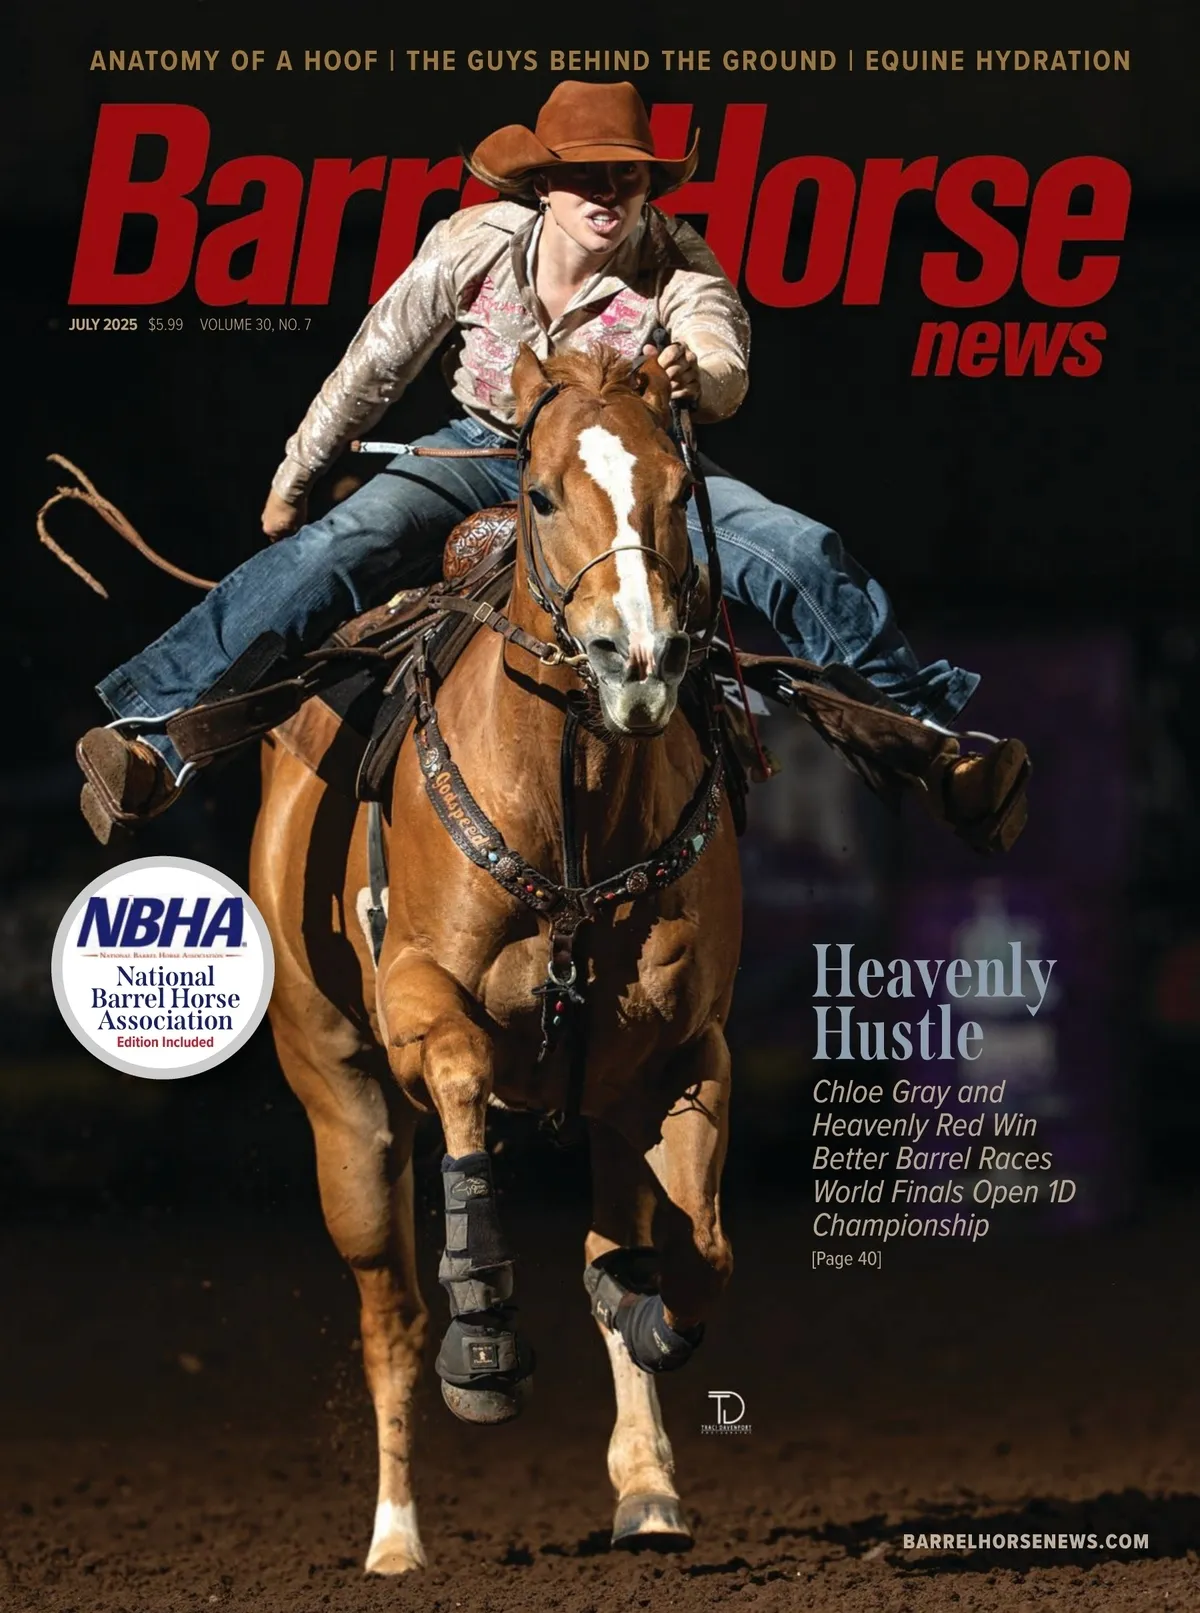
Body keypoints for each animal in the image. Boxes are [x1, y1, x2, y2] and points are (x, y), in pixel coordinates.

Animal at [248, 342, 743, 1574]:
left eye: (679, 490)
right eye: (542, 493)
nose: (637, 660)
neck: (570, 810)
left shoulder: (690, 1052)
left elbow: (693, 1249)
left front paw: (646, 1321)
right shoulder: (421, 1011)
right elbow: (466, 1080)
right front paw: (485, 1335)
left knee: (618, 1238)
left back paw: (647, 1487)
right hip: (341, 1096)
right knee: (388, 1313)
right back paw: (394, 1535)